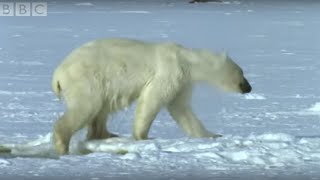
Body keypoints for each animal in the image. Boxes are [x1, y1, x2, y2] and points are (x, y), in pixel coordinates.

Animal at [51, 38, 251, 155]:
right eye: (242, 73)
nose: (249, 87)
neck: (186, 58)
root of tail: (57, 75)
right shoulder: (170, 72)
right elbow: (152, 99)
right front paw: (143, 137)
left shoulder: (182, 81)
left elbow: (181, 109)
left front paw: (212, 135)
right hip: (86, 79)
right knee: (88, 106)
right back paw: (63, 145)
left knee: (100, 110)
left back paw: (106, 135)